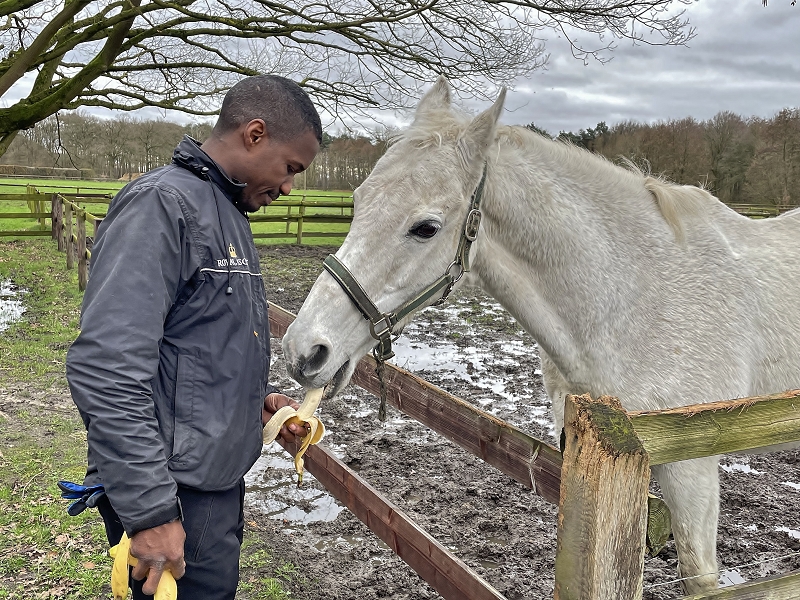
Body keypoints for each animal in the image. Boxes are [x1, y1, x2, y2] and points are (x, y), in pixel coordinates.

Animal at [281, 76, 800, 594]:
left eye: (425, 228)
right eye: (359, 202)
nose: (303, 351)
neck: (638, 299)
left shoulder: (693, 464)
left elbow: (702, 578)